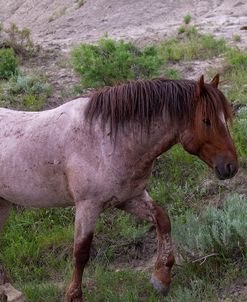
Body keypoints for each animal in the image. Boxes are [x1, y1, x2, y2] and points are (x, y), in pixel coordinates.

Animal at [0, 73, 237, 302]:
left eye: (225, 118)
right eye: (206, 121)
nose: (230, 167)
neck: (105, 140)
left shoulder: (128, 198)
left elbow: (163, 220)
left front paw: (161, 277)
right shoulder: (87, 206)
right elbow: (81, 253)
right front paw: (74, 296)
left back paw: (12, 292)